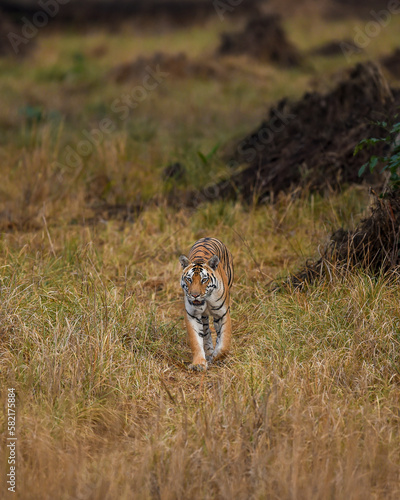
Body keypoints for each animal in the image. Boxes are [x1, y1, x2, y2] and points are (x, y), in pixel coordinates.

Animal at [179, 238, 234, 372]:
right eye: (189, 279)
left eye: (204, 280)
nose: (194, 295)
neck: (207, 300)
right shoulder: (193, 315)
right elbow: (196, 341)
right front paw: (199, 363)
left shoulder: (222, 314)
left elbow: (224, 341)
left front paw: (217, 356)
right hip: (203, 317)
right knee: (206, 331)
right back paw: (208, 352)